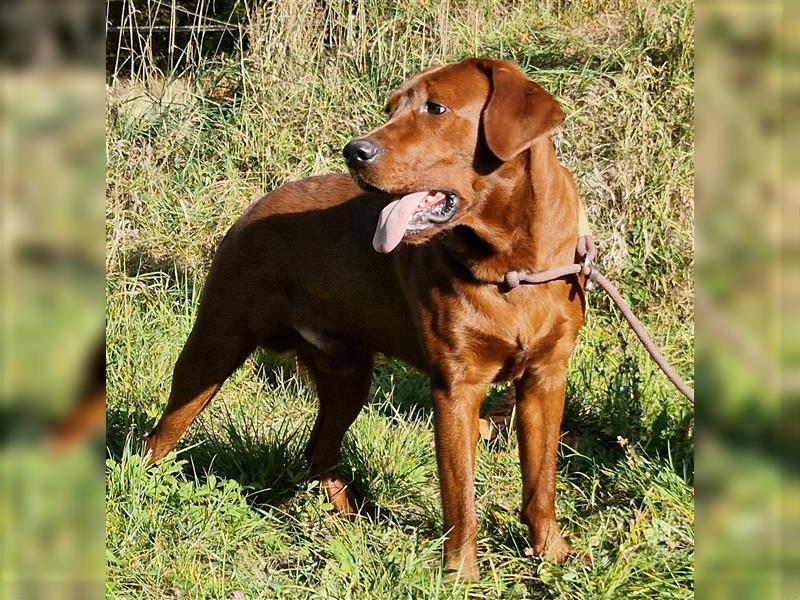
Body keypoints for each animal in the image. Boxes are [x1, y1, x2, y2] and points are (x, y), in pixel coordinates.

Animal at [144, 58, 584, 580]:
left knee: (319, 450)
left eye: (436, 108)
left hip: (348, 374)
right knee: (158, 436)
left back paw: (349, 520)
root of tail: (258, 203)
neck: (508, 267)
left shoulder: (545, 378)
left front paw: (554, 556)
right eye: (392, 108)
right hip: (214, 346)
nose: (355, 151)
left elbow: (541, 481)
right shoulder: (456, 386)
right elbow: (460, 497)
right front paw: (461, 574)